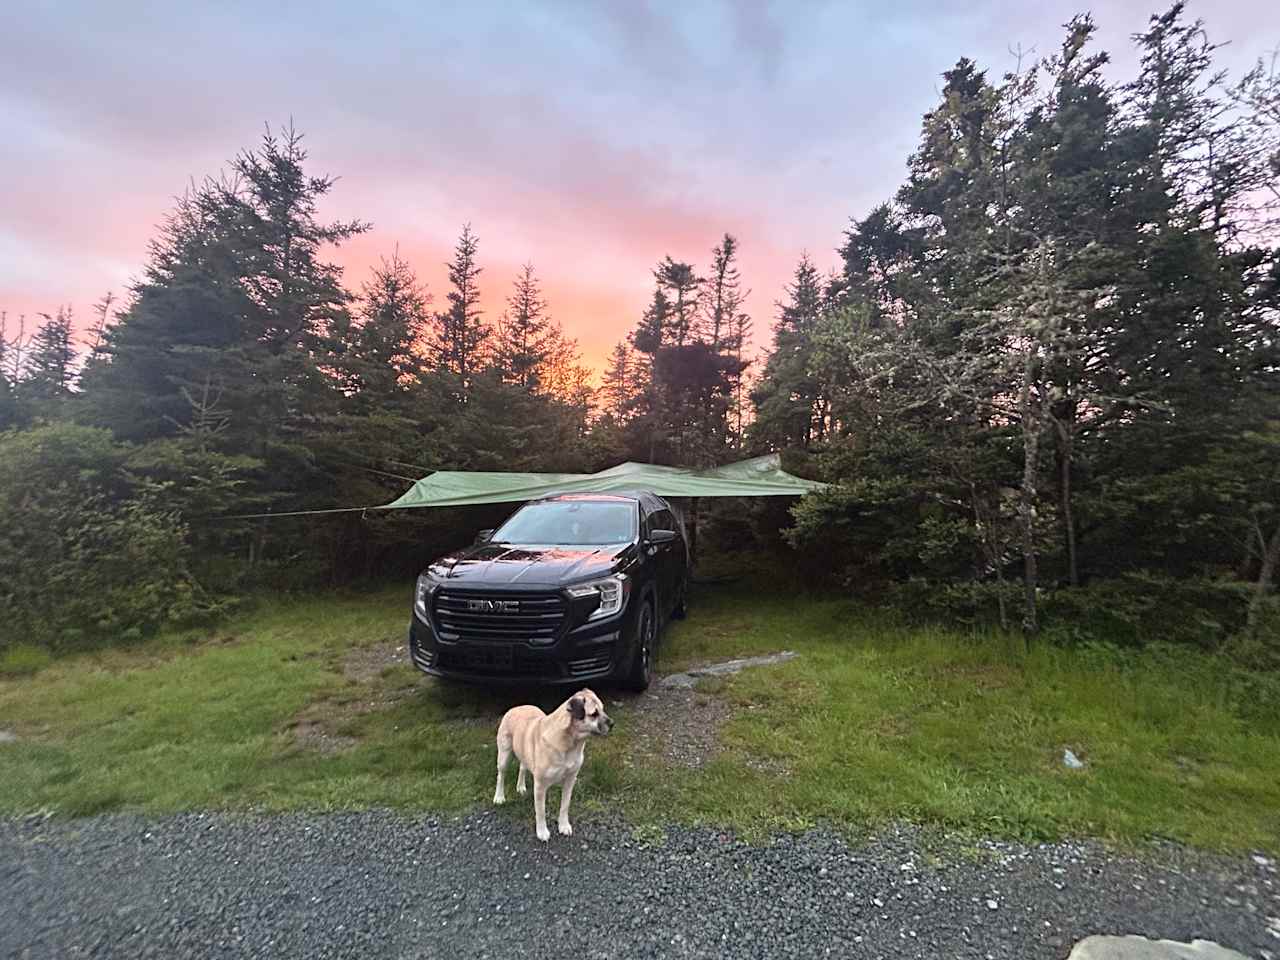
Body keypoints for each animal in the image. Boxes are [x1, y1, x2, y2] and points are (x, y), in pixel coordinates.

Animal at [491, 691, 611, 839]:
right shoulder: (540, 786)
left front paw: (563, 826)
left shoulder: (570, 780)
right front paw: (542, 832)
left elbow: (565, 805)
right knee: (501, 776)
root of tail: (515, 708)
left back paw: (520, 787)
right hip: (504, 755)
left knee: (522, 768)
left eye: (603, 709)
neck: (570, 743)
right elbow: (541, 811)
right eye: (594, 714)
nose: (612, 723)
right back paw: (499, 797)